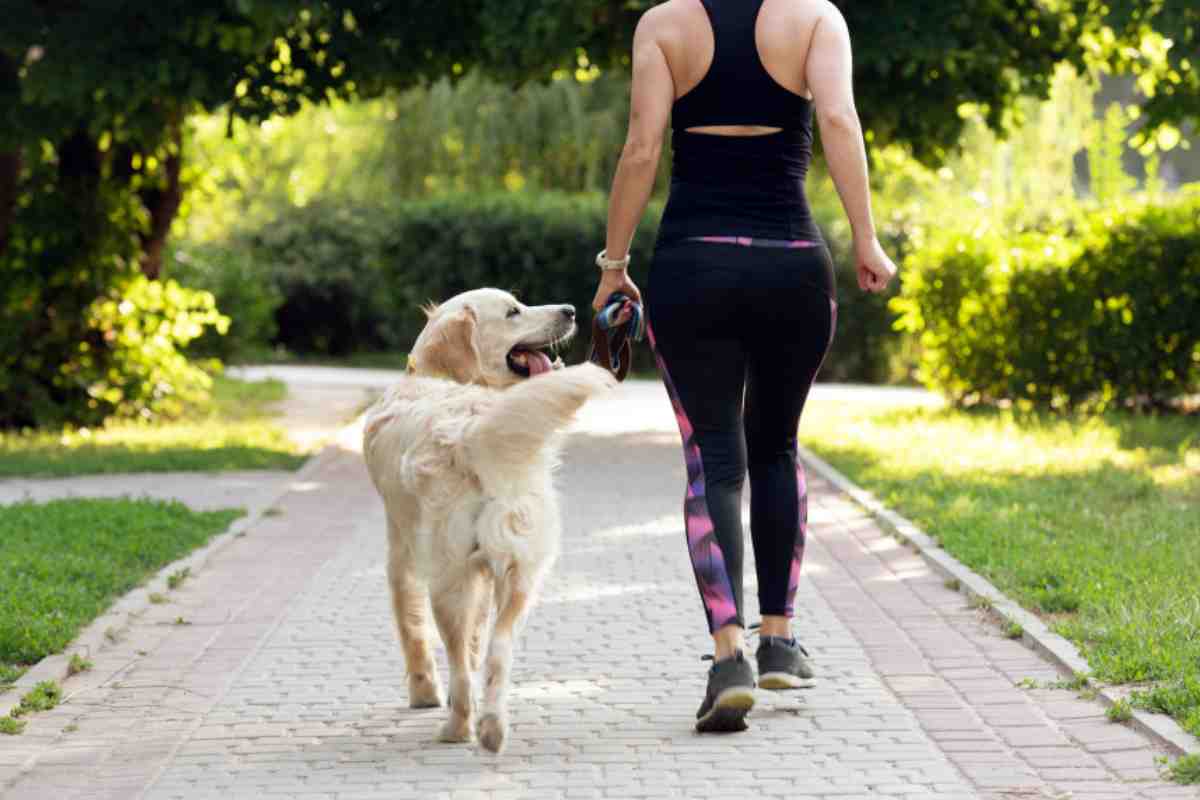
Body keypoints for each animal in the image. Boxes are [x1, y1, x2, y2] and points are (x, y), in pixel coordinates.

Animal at [360, 291, 614, 753]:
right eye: (514, 311)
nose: (570, 311)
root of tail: (471, 428)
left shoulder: (402, 555)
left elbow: (412, 628)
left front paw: (423, 692)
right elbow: (479, 638)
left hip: (447, 576)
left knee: (459, 661)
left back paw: (458, 726)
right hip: (520, 571)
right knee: (499, 646)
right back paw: (492, 726)